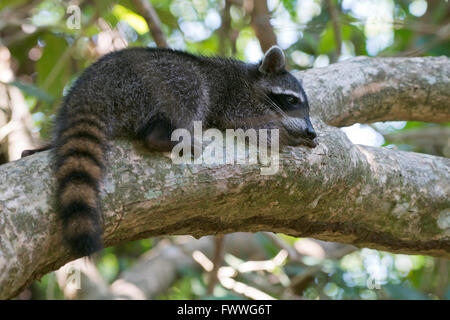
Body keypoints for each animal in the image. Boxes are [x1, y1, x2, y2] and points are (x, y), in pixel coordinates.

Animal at [35, 45, 316, 256]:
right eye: (291, 100)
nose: (311, 131)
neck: (251, 80)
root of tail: (91, 86)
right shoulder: (234, 96)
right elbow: (249, 123)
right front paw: (288, 135)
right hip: (151, 79)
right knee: (192, 83)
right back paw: (162, 137)